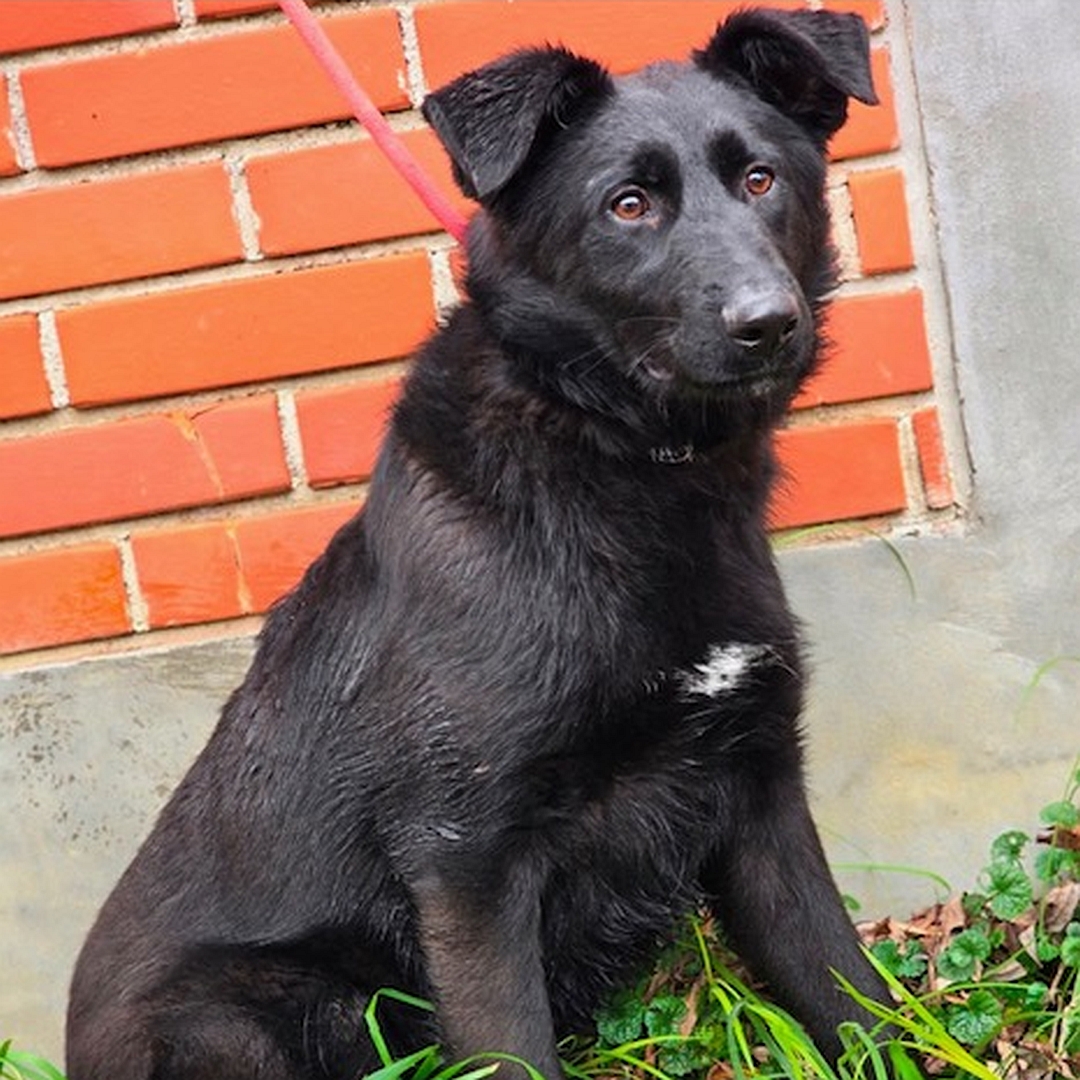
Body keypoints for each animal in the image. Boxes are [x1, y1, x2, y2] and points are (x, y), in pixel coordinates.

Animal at [69, 10, 894, 1080]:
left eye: (761, 179)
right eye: (628, 206)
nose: (767, 323)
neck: (631, 461)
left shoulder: (762, 797)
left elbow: (853, 998)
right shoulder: (469, 857)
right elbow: (514, 1046)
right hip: (243, 1021)